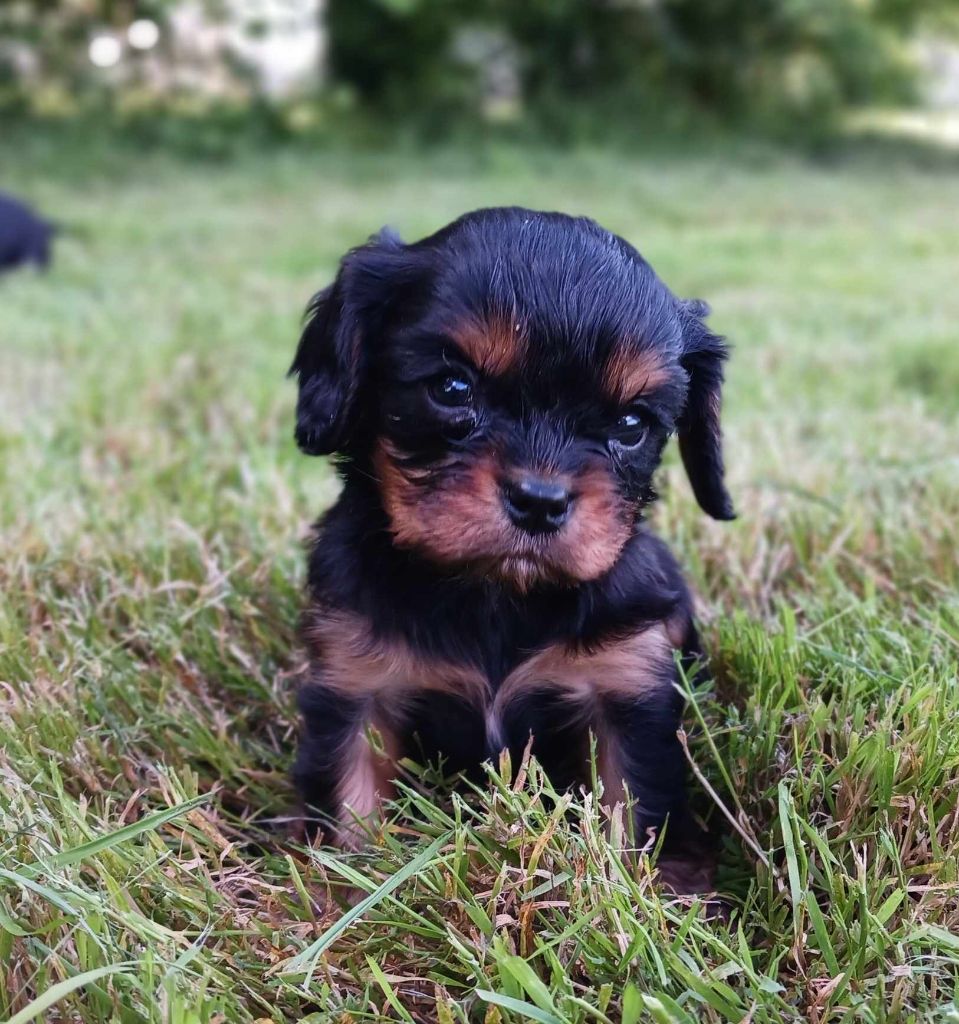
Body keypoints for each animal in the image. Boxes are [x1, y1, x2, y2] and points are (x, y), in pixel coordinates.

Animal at [288, 205, 728, 888]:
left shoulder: (626, 687)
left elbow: (630, 810)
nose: (540, 500)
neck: (495, 593)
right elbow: (350, 802)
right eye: (452, 388)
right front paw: (344, 893)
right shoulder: (356, 684)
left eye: (632, 425)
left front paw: (642, 891)